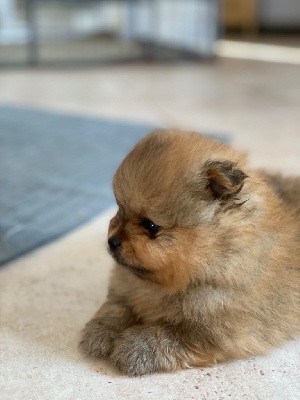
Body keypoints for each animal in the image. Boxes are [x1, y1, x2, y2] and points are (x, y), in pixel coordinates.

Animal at [79, 130, 300, 376]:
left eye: (150, 226)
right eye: (119, 209)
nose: (112, 241)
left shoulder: (214, 329)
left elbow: (169, 334)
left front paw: (135, 346)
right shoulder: (125, 285)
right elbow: (118, 307)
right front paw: (102, 330)